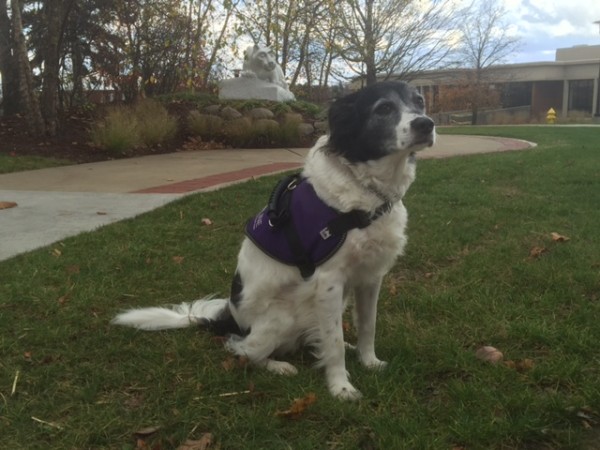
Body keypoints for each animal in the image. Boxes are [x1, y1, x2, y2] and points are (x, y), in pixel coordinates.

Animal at [113, 79, 436, 400]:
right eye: (384, 109)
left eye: (419, 101)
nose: (426, 124)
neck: (365, 192)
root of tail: (228, 319)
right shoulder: (329, 281)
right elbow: (332, 342)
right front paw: (340, 386)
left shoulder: (370, 277)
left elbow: (367, 325)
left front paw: (369, 361)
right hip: (283, 317)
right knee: (240, 349)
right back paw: (278, 365)